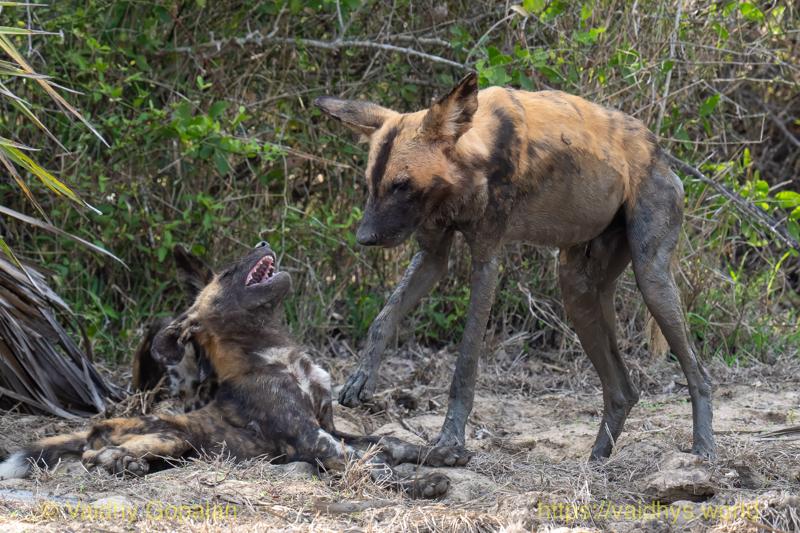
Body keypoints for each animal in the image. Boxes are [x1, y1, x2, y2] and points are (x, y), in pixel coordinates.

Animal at [0, 241, 469, 497]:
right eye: (227, 273)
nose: (262, 242)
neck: (278, 354)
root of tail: (102, 423)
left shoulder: (331, 427)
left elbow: (390, 443)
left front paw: (440, 453)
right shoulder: (315, 438)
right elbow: (371, 465)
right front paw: (420, 484)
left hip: (177, 447)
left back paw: (130, 466)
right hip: (171, 436)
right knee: (93, 454)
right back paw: (120, 462)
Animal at [315, 72, 715, 460]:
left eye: (401, 185)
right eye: (372, 184)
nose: (364, 237)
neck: (470, 162)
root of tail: (658, 151)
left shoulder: (486, 261)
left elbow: (465, 365)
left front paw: (450, 441)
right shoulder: (431, 256)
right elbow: (383, 319)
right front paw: (362, 378)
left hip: (652, 280)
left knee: (699, 373)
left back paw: (704, 449)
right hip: (577, 290)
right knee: (622, 390)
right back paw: (597, 459)